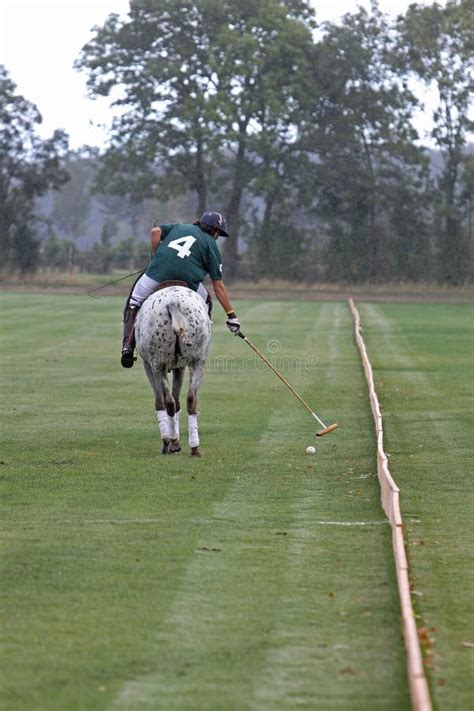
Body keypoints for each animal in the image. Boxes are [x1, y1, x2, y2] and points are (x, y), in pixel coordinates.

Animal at [135, 282, 213, 456]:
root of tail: (173, 303)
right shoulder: (180, 365)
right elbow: (178, 401)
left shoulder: (148, 364)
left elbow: (160, 401)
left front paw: (168, 440)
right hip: (199, 360)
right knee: (191, 398)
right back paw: (194, 448)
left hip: (157, 363)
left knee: (167, 401)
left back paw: (172, 443)